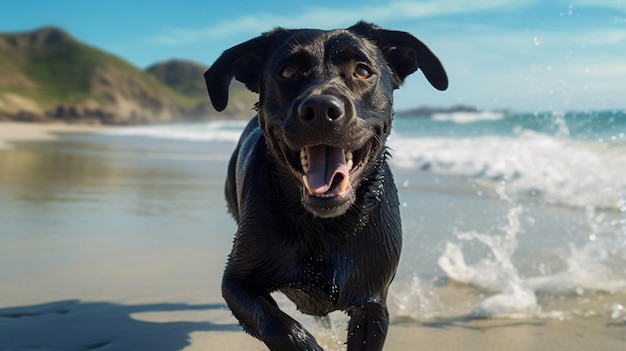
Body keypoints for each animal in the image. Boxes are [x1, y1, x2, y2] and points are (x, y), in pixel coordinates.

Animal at [204, 20, 444, 350]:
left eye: (362, 71)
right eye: (288, 71)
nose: (320, 109)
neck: (324, 226)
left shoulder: (373, 303)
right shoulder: (237, 282)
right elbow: (279, 327)